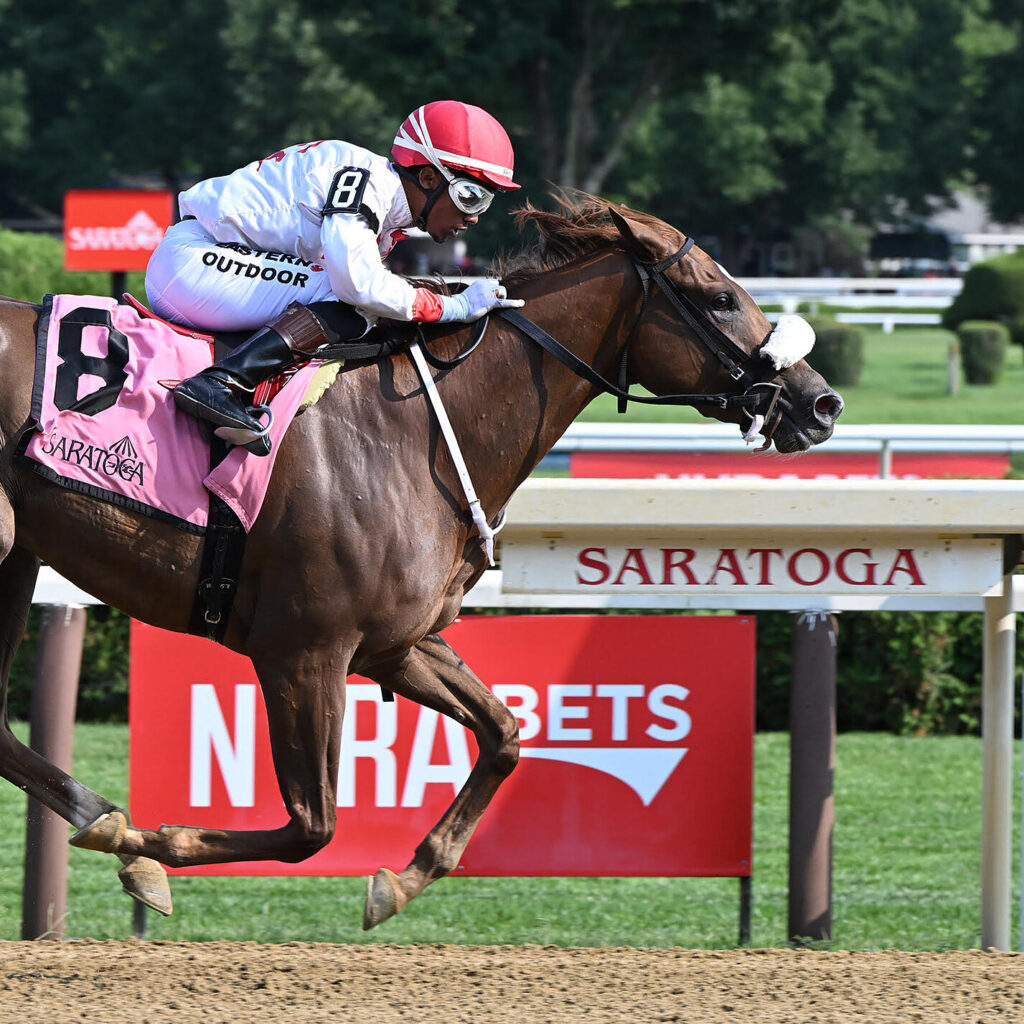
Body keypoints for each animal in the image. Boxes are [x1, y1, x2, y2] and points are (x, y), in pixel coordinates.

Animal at [0, 194, 843, 929]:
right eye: (721, 297)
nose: (822, 402)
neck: (416, 432)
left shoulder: (395, 644)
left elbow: (505, 733)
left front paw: (401, 880)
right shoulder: (303, 651)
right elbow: (313, 825)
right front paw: (150, 847)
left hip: (18, 559)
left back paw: (99, 815)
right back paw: (111, 825)